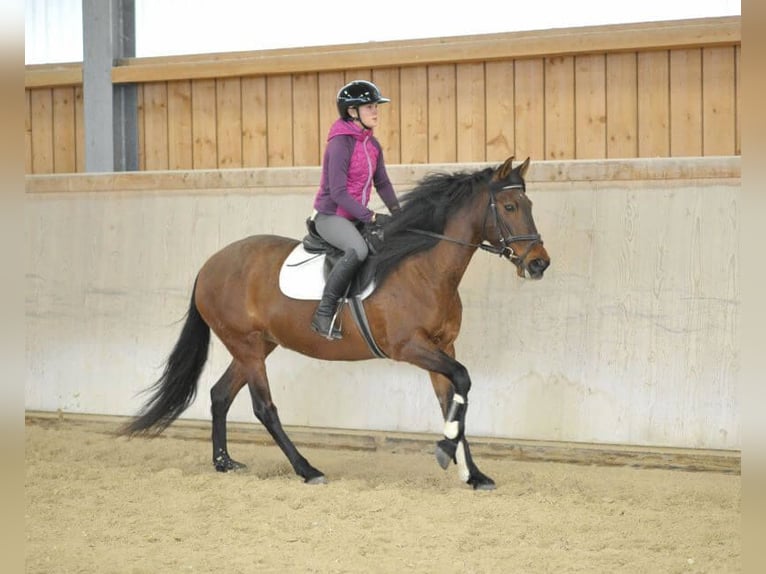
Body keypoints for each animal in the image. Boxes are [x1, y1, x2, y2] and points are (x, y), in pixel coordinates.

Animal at [120, 156, 552, 490]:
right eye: (510, 207)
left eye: (529, 203)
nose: (539, 264)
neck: (425, 268)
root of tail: (210, 265)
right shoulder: (410, 347)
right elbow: (462, 381)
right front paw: (447, 451)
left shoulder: (443, 346)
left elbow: (452, 401)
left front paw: (473, 473)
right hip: (246, 346)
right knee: (264, 408)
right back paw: (307, 470)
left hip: (256, 346)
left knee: (220, 394)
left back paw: (224, 462)